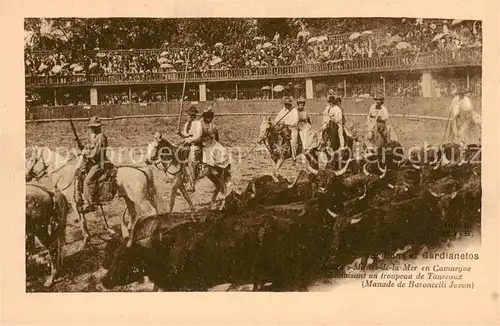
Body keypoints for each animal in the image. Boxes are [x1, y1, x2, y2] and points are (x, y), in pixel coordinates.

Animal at [25, 145, 158, 247]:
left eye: (31, 160)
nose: (26, 176)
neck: (66, 175)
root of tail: (141, 170)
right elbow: (83, 220)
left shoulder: (75, 204)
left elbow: (82, 222)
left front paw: (86, 240)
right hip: (128, 198)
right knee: (133, 214)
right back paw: (129, 232)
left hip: (140, 199)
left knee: (151, 212)